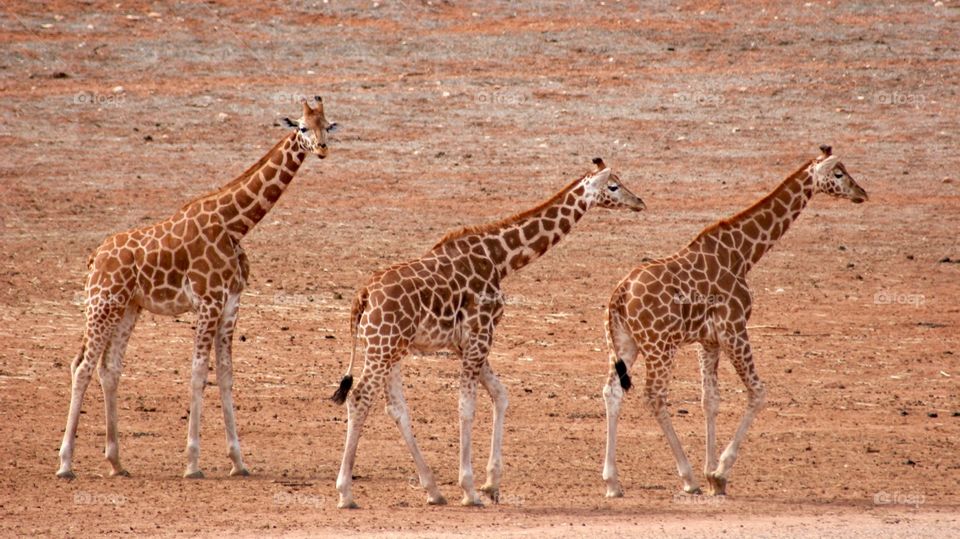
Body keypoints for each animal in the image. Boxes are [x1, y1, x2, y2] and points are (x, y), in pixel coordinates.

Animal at [56, 97, 336, 480]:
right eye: (303, 127)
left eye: (328, 126)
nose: (322, 149)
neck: (235, 224)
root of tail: (94, 257)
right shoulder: (208, 301)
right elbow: (199, 372)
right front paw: (192, 463)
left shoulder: (230, 303)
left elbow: (226, 374)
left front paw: (238, 462)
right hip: (102, 302)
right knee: (81, 365)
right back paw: (65, 464)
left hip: (128, 307)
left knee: (109, 368)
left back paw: (116, 462)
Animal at [328, 158, 644, 508]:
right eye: (613, 186)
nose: (639, 202)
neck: (500, 258)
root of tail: (363, 296)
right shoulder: (481, 334)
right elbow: (467, 405)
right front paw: (469, 489)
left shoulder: (465, 342)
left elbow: (500, 394)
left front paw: (491, 484)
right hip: (381, 347)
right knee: (359, 398)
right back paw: (345, 493)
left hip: (390, 349)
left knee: (395, 407)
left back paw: (433, 490)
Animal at [604, 146, 868, 500]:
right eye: (839, 173)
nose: (861, 193)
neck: (744, 253)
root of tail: (618, 296)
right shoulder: (734, 328)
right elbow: (758, 392)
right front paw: (718, 473)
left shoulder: (709, 340)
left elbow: (710, 400)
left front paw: (713, 474)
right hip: (659, 345)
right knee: (654, 396)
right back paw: (687, 478)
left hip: (626, 343)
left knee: (612, 391)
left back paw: (612, 483)